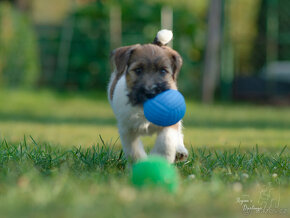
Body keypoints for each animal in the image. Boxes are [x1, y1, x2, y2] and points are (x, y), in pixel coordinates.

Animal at [107, 29, 187, 164]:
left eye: (163, 71)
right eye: (138, 70)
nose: (150, 92)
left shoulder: (169, 124)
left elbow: (166, 142)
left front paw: (161, 159)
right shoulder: (128, 130)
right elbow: (134, 151)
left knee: (179, 133)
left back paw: (180, 150)